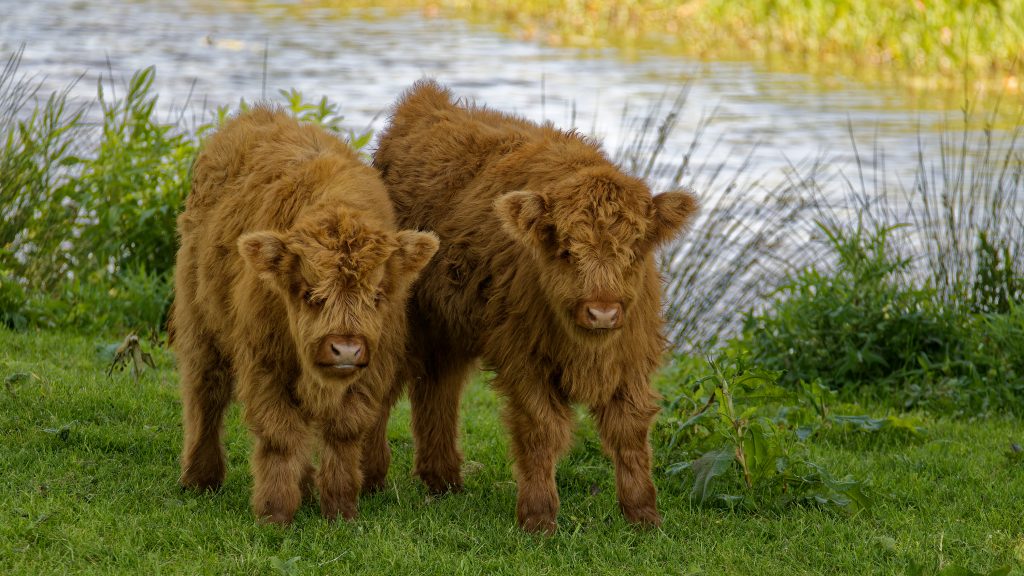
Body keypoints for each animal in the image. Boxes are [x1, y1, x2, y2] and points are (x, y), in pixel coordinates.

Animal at [172, 105, 436, 522]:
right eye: (310, 294)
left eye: (377, 295)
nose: (345, 349)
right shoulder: (264, 364)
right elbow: (279, 436)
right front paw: (275, 512)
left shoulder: (371, 371)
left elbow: (343, 433)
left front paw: (340, 507)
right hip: (200, 323)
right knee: (205, 394)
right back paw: (200, 477)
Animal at [372, 78, 700, 532]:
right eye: (565, 251)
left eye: (635, 250)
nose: (602, 311)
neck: (588, 350)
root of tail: (427, 101)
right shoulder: (525, 358)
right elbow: (542, 430)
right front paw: (539, 519)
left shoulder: (633, 359)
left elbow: (630, 431)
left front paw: (643, 515)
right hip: (402, 318)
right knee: (384, 386)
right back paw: (370, 479)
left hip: (448, 325)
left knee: (439, 389)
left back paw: (444, 481)